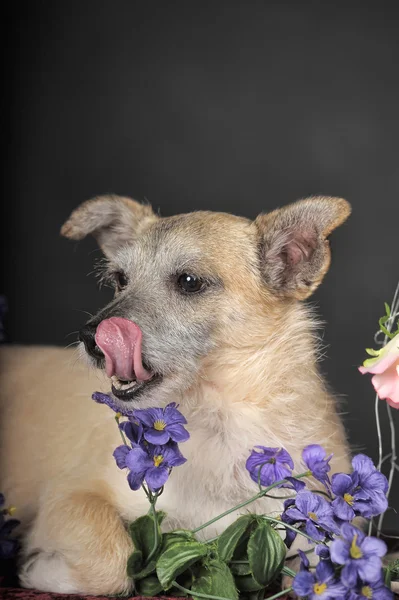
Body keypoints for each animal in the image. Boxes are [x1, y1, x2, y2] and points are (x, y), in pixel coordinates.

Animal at [0, 196, 354, 596]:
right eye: (120, 280)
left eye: (188, 282)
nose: (89, 337)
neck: (214, 418)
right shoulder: (70, 495)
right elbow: (112, 558)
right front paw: (43, 570)